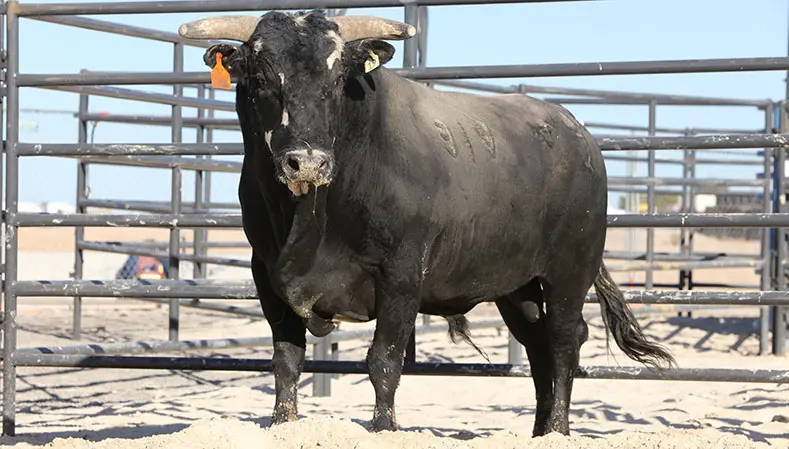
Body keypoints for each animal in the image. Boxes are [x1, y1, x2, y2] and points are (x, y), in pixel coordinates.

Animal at [178, 10, 675, 436]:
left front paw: (383, 427)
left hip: (570, 272)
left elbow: (384, 360)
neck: (311, 218)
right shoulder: (266, 273)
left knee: (563, 343)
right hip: (519, 289)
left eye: (337, 80)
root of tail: (578, 132)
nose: (308, 161)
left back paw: (558, 430)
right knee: (538, 350)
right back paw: (539, 431)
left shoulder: (401, 274)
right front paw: (283, 423)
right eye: (262, 76)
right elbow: (286, 361)